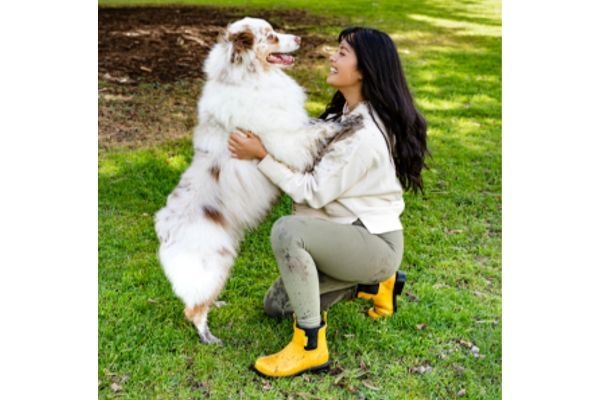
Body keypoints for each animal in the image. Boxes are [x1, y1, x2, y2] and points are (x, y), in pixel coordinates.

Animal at [155, 18, 360, 344]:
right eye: (272, 36)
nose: (299, 38)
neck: (248, 79)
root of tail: (164, 231)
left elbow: (316, 123)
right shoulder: (287, 142)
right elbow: (320, 131)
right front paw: (350, 120)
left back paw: (218, 304)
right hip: (214, 265)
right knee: (193, 309)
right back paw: (208, 337)